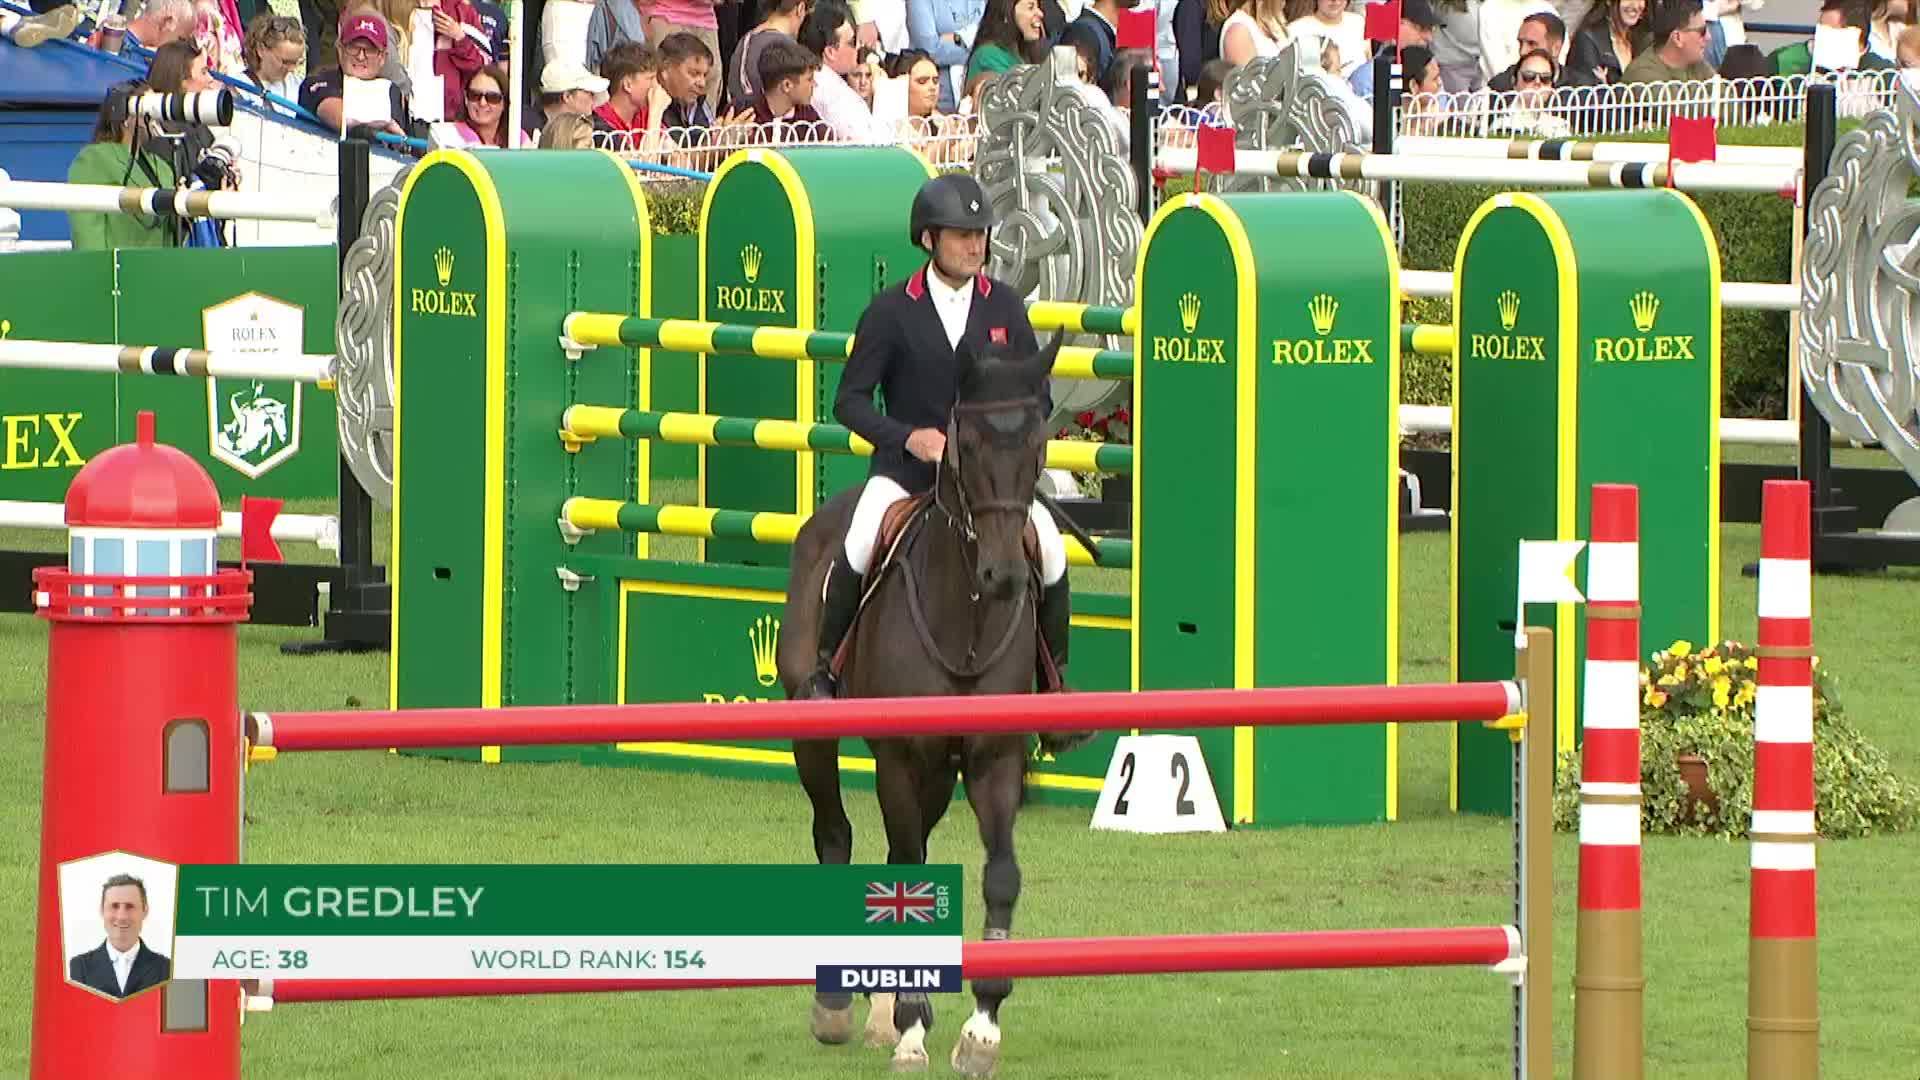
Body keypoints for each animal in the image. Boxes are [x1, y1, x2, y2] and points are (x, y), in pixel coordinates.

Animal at [777, 336, 1062, 1076]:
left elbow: (999, 877)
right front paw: (909, 1028)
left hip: (939, 772)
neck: (966, 616)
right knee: (836, 837)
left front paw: (980, 1028)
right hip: (815, 737)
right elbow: (902, 868)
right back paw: (840, 1007)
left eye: (1037, 443)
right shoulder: (900, 760)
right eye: (965, 442)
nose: (1004, 577)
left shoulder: (993, 760)